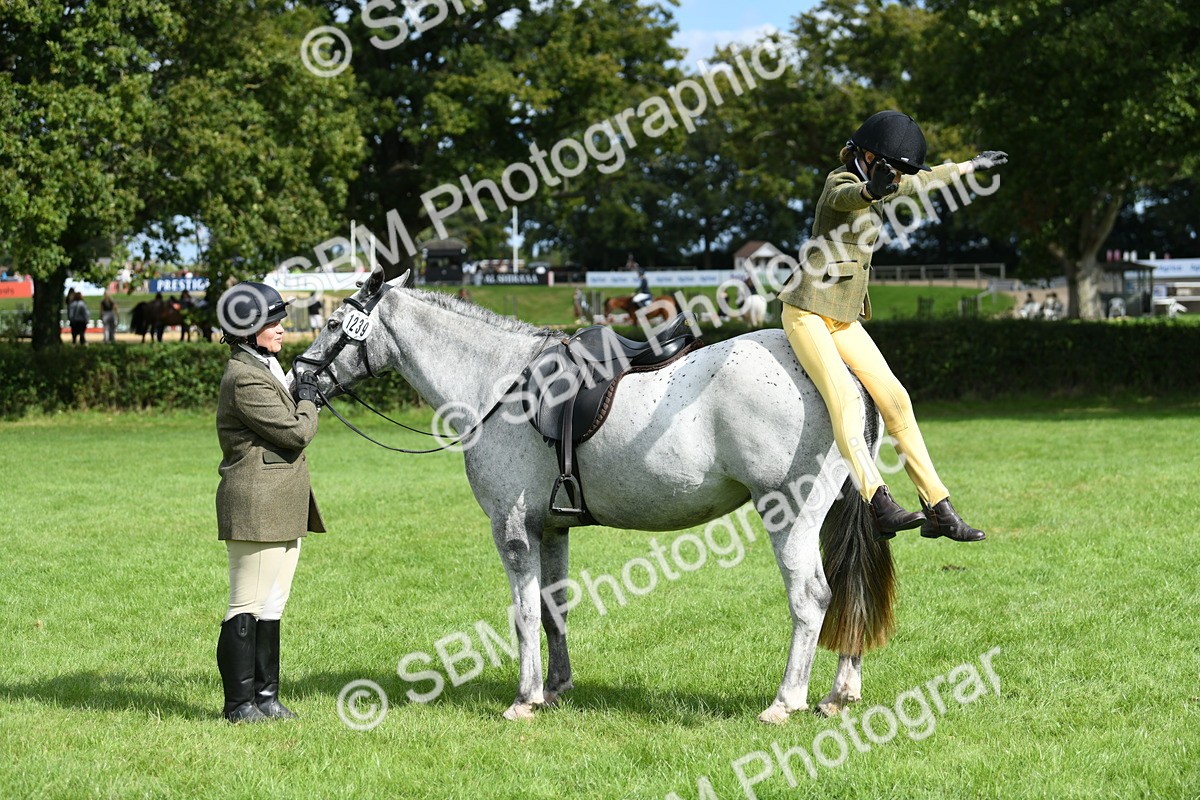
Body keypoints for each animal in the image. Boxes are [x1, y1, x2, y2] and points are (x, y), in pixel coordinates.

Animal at [294, 265, 895, 723]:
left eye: (332, 322)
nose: (299, 378)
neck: (499, 382)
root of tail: (840, 373)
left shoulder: (512, 531)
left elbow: (523, 613)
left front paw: (525, 698)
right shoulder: (550, 528)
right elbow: (552, 607)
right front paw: (557, 687)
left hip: (789, 515)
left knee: (811, 598)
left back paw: (785, 701)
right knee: (849, 593)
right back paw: (839, 694)